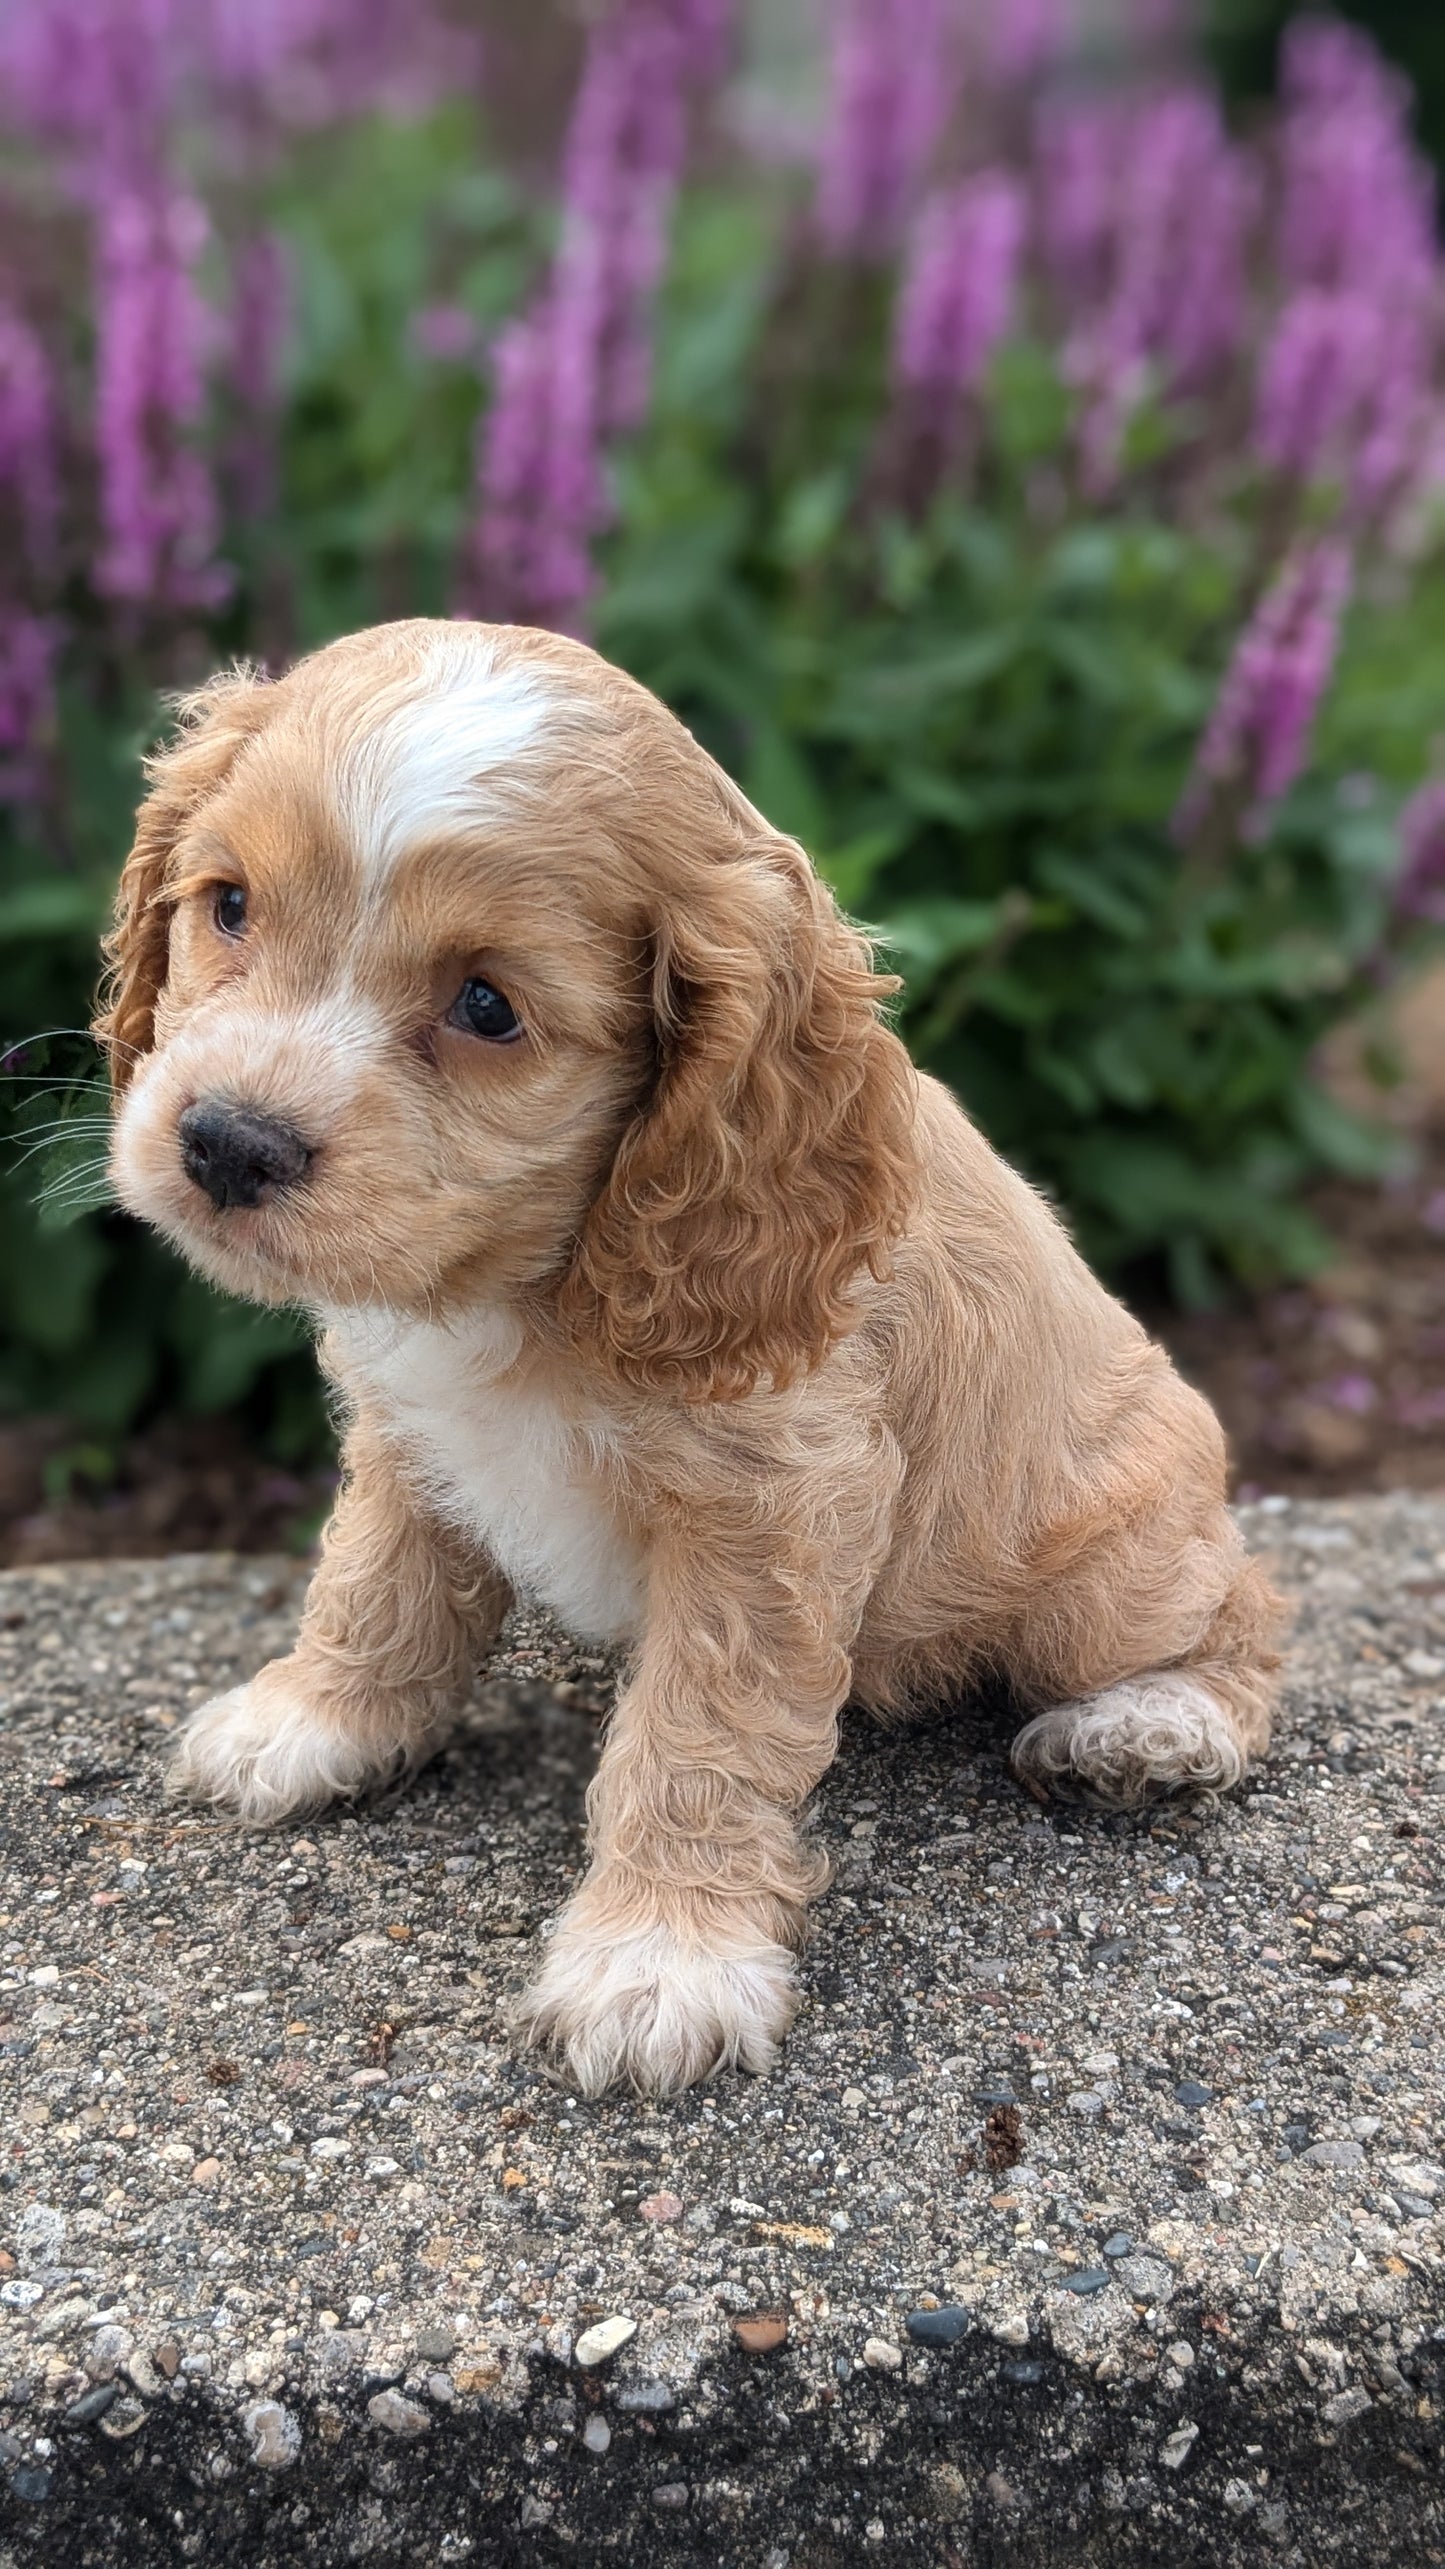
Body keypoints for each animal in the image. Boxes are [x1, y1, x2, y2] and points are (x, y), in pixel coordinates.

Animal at [101, 616, 1275, 2086]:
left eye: (485, 1007)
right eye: (229, 905)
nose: (226, 1144)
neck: (530, 1283)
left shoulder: (771, 1511)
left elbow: (697, 1734)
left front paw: (660, 1957)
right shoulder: (407, 1430)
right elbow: (372, 1584)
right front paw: (313, 1719)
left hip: (1102, 1575)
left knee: (1247, 1611)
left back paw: (1151, 1727)